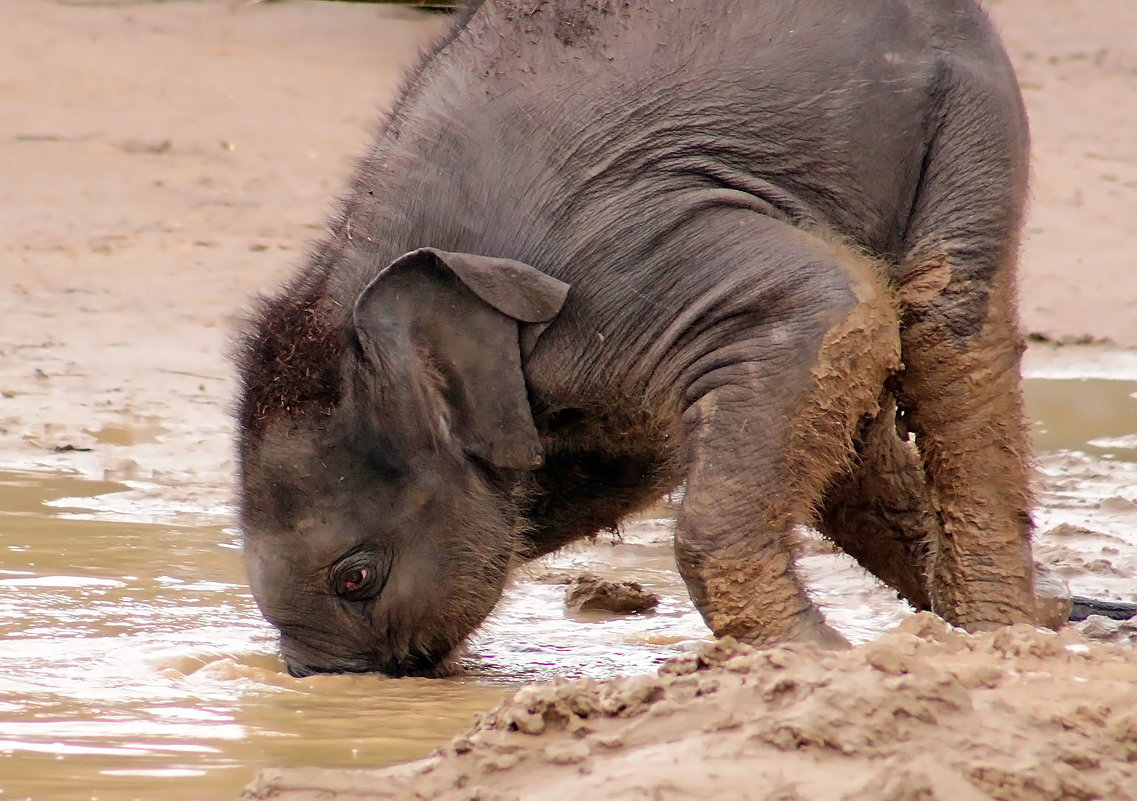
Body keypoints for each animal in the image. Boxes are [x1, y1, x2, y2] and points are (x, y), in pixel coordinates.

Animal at [235, 0, 1041, 673]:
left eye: (356, 576)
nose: (319, 690)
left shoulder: (618, 256)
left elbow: (832, 308)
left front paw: (814, 661)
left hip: (968, 112)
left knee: (944, 330)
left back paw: (996, 637)